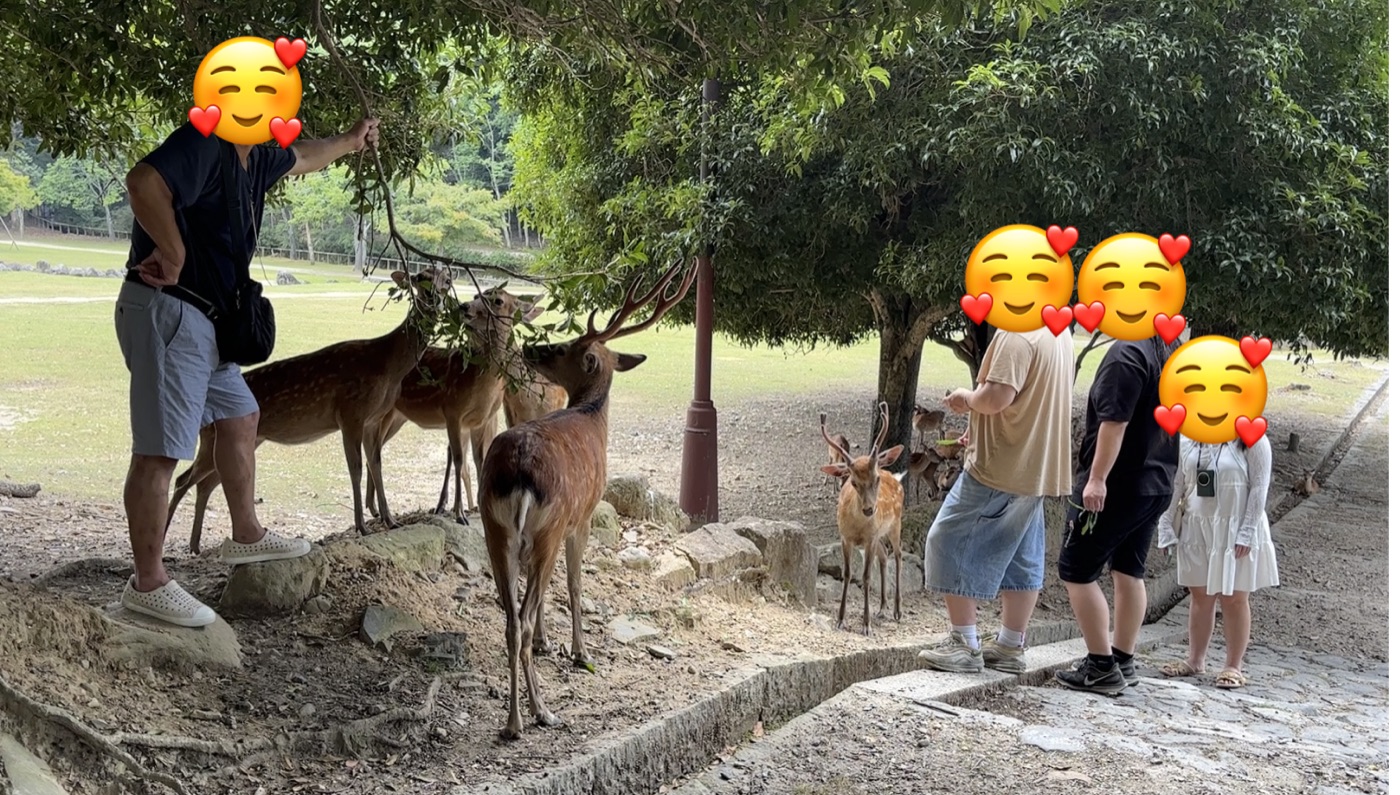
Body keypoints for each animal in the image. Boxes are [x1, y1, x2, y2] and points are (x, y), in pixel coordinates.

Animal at [167, 269, 453, 552]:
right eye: (419, 277)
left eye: (447, 280)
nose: (434, 297)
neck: (389, 367)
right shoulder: (351, 411)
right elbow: (356, 468)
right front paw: (362, 527)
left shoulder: (373, 419)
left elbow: (376, 465)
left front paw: (391, 520)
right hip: (213, 437)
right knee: (183, 479)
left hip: (243, 440)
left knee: (205, 483)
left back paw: (195, 545)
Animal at [364, 287, 543, 523]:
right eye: (476, 296)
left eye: (498, 301)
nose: (464, 306)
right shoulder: (453, 411)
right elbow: (458, 459)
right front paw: (459, 514)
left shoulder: (481, 420)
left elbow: (479, 460)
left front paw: (476, 509)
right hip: (385, 413)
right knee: (373, 450)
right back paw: (382, 513)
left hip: (397, 418)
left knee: (373, 450)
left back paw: (374, 508)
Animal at [479, 259, 697, 740]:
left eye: (563, 349)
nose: (532, 348)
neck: (593, 417)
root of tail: (517, 471)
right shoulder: (582, 517)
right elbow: (577, 584)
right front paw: (580, 652)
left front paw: (554, 644)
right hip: (548, 527)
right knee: (521, 619)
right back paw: (533, 715)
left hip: (494, 529)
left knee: (510, 619)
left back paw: (517, 716)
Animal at [819, 402, 905, 636]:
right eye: (853, 482)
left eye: (875, 479)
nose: (869, 510)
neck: (858, 528)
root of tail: (895, 476)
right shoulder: (845, 537)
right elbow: (848, 574)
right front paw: (840, 619)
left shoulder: (870, 538)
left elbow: (866, 576)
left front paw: (866, 625)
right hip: (880, 535)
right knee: (884, 555)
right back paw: (882, 608)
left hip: (895, 524)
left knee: (897, 554)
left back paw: (897, 611)